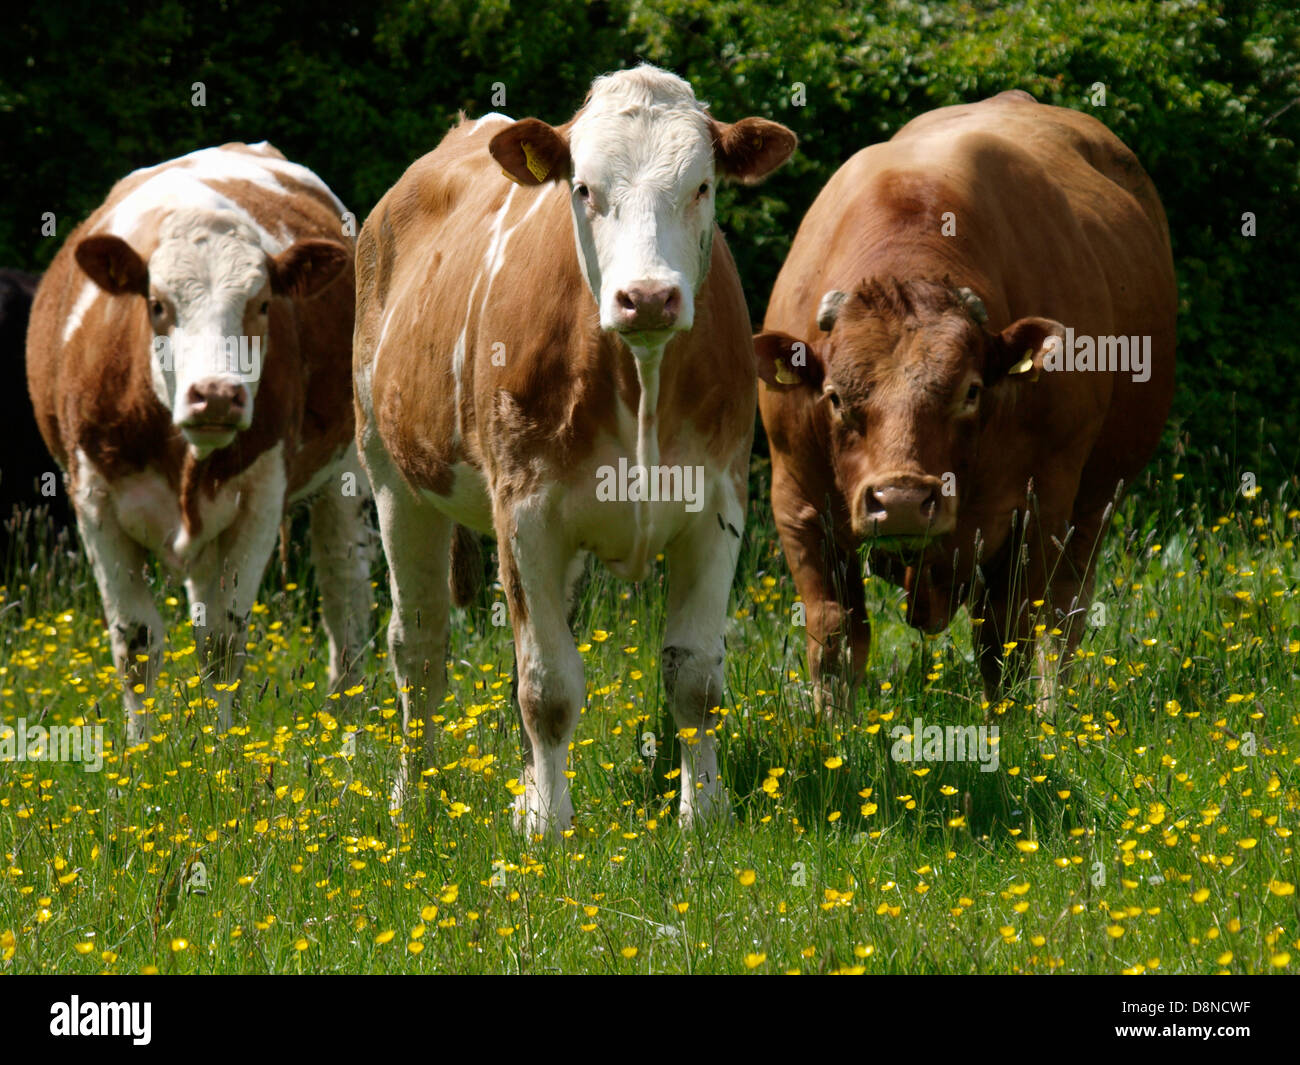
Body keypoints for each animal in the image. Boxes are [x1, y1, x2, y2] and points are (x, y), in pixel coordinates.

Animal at [27, 141, 374, 743]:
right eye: (157, 305)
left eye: (262, 304)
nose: (215, 395)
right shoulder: (93, 499)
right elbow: (136, 640)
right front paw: (141, 750)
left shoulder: (261, 495)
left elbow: (223, 643)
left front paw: (221, 748)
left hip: (344, 477)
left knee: (343, 594)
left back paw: (347, 721)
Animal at [358, 66, 800, 837]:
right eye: (585, 188)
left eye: (702, 186)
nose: (647, 297)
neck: (640, 375)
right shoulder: (526, 512)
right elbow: (548, 685)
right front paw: (549, 824)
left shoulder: (718, 505)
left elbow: (695, 678)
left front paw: (702, 813)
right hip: (391, 474)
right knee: (419, 648)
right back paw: (410, 801)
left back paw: (521, 788)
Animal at [754, 89, 1180, 707]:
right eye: (833, 397)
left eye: (971, 391)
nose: (902, 500)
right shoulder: (799, 502)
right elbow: (835, 633)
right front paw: (832, 726)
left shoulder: (1040, 503)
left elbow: (1008, 629)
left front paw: (1011, 719)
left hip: (1095, 499)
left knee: (1065, 610)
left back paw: (1056, 706)